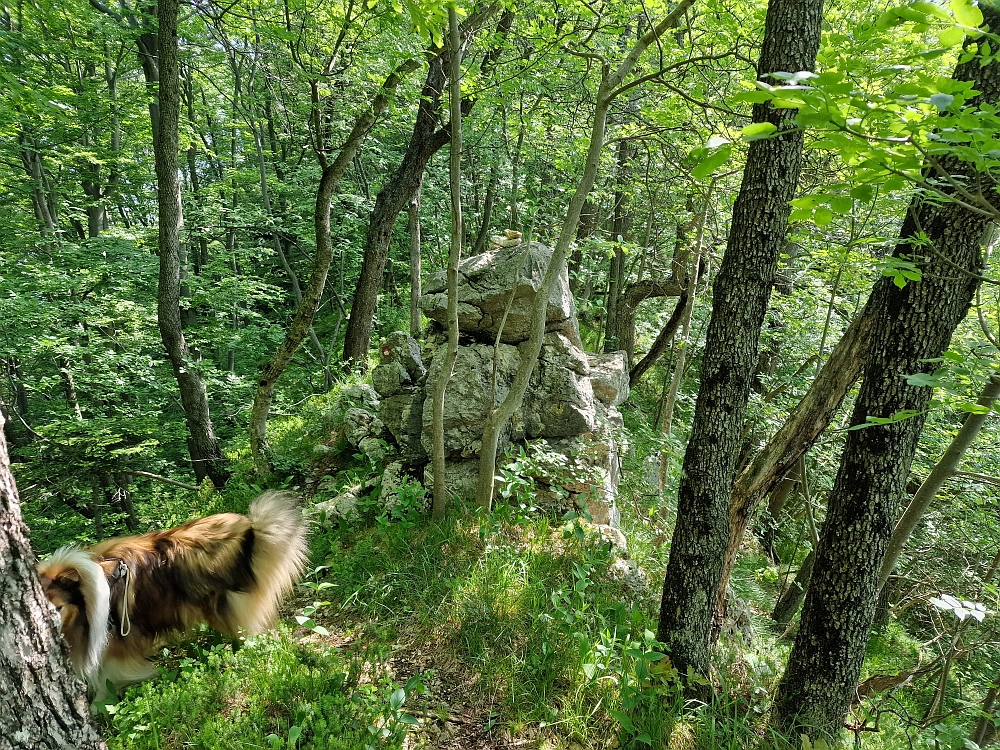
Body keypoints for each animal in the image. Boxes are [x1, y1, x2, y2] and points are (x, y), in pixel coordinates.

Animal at [36, 494, 308, 700]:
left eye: (58, 608)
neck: (87, 596)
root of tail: (248, 530)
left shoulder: (115, 639)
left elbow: (107, 678)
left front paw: (100, 704)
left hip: (227, 607)